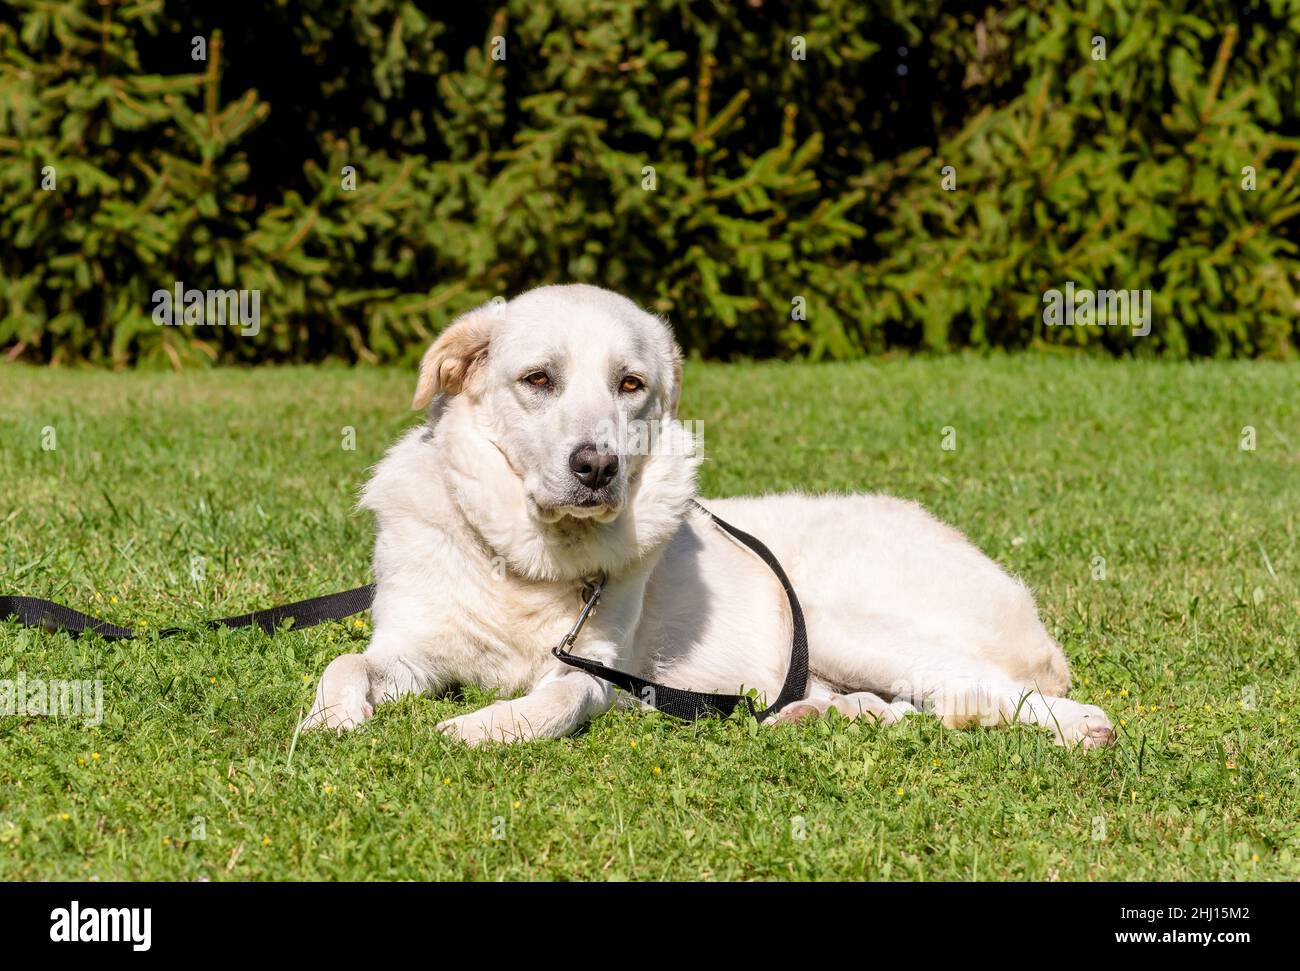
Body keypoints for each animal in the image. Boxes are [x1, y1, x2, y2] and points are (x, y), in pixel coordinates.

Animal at [304, 284, 1118, 748]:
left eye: (631, 384)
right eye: (538, 379)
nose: (597, 466)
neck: (524, 560)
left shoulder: (593, 666)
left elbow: (559, 699)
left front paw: (484, 726)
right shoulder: (413, 645)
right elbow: (346, 662)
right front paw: (329, 719)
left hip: (837, 616)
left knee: (991, 690)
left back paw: (1082, 729)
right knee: (922, 703)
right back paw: (824, 716)